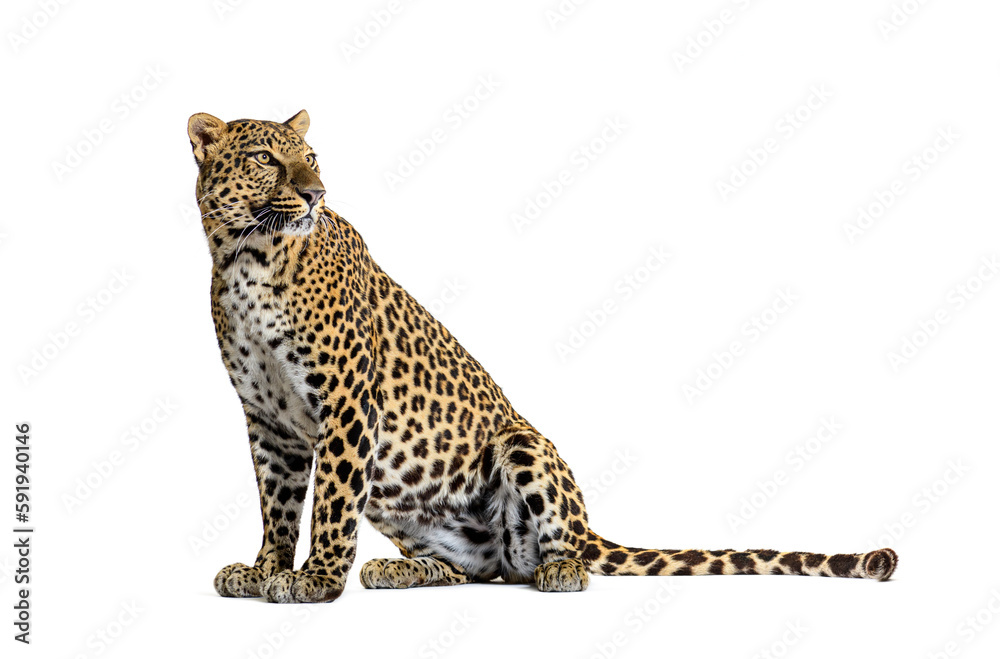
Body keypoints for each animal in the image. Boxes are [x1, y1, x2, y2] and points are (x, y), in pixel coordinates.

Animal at [187, 109, 898, 603]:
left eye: (310, 157)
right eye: (265, 159)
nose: (316, 193)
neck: (245, 259)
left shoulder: (346, 403)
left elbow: (331, 501)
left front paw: (317, 580)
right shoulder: (269, 422)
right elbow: (278, 504)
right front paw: (265, 572)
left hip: (522, 445)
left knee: (558, 556)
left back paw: (558, 571)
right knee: (473, 572)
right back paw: (398, 568)